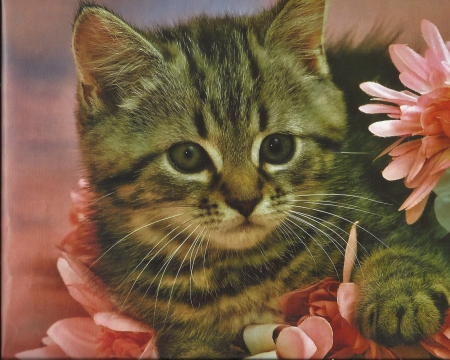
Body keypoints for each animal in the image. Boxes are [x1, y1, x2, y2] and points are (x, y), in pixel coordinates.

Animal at [72, 0, 448, 358]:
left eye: (276, 147)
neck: (243, 271)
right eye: (187, 156)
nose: (245, 200)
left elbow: (403, 246)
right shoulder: (175, 331)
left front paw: (399, 297)